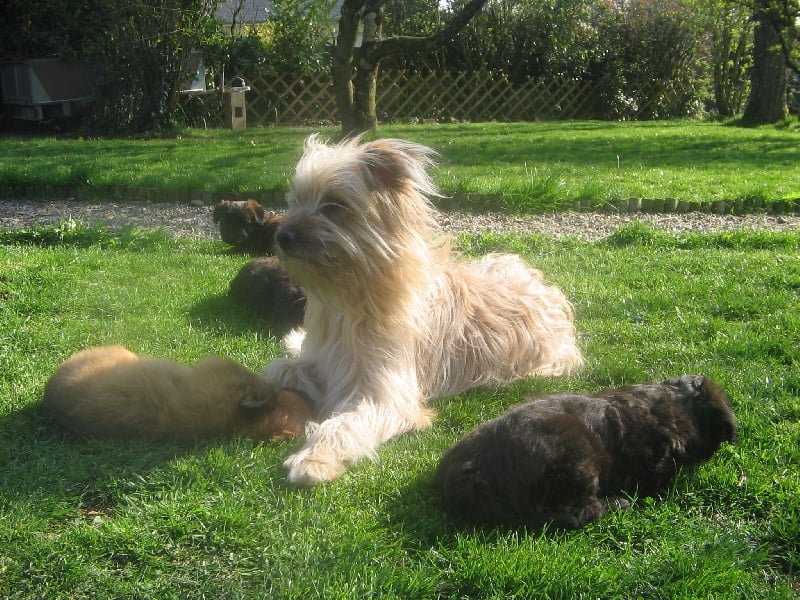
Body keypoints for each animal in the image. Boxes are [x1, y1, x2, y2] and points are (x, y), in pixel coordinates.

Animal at [262, 134, 580, 486]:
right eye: (296, 200)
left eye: (334, 205)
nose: (282, 236)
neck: (353, 293)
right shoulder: (327, 358)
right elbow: (280, 368)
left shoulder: (384, 394)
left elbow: (345, 423)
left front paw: (313, 458)